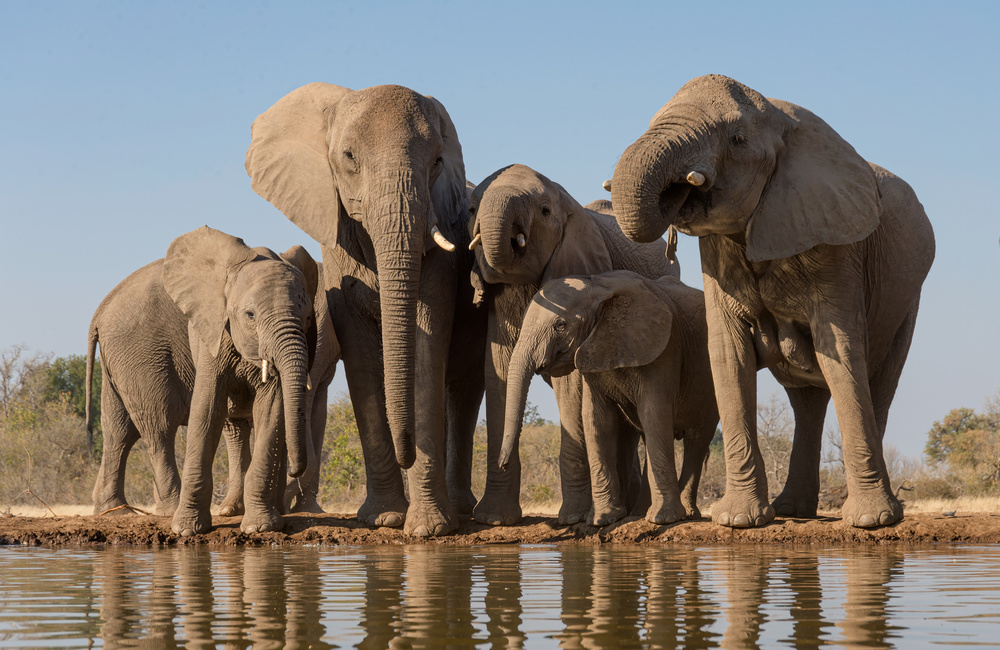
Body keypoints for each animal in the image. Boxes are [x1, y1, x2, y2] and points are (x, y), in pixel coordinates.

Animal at [87, 225, 336, 536]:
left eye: (307, 318)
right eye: (250, 315)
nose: (294, 469)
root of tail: (99, 311)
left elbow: (269, 409)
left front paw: (260, 528)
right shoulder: (210, 330)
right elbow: (207, 408)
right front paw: (187, 530)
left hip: (119, 361)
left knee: (118, 431)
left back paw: (114, 512)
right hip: (140, 355)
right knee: (159, 426)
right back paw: (166, 510)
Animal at [246, 82, 488, 536]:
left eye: (437, 161)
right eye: (349, 157)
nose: (406, 450)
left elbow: (427, 342)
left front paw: (428, 529)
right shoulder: (334, 246)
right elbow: (359, 353)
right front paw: (385, 518)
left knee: (463, 387)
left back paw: (462, 510)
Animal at [500, 270, 720, 528]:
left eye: (560, 325)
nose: (503, 464)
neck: (597, 287)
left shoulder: (665, 349)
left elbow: (654, 414)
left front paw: (664, 520)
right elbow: (597, 420)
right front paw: (602, 520)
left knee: (697, 439)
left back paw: (680, 514)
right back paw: (639, 513)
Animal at [608, 73, 936, 528]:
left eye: (737, 139)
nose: (680, 189)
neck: (780, 118)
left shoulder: (836, 244)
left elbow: (840, 349)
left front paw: (871, 521)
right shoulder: (715, 255)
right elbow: (728, 355)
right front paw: (738, 520)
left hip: (907, 302)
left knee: (878, 383)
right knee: (807, 401)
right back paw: (790, 510)